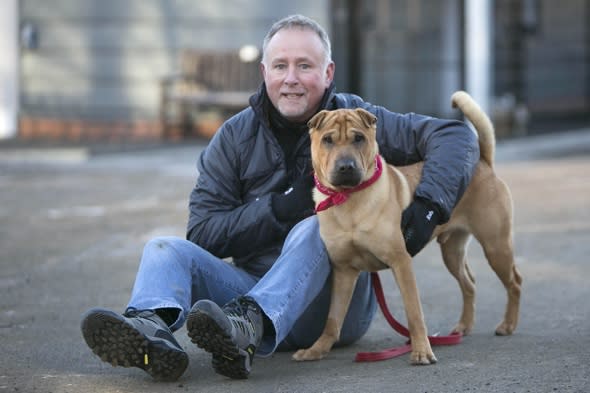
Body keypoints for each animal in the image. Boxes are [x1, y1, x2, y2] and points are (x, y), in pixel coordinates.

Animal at [294, 90, 524, 362]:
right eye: (328, 140)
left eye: (359, 138)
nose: (346, 167)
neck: (347, 199)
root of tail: (484, 163)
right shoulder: (343, 270)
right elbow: (332, 319)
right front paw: (316, 349)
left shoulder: (400, 262)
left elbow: (414, 313)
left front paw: (422, 351)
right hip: (453, 252)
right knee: (469, 283)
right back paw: (464, 326)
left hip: (496, 246)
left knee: (515, 282)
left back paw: (508, 325)